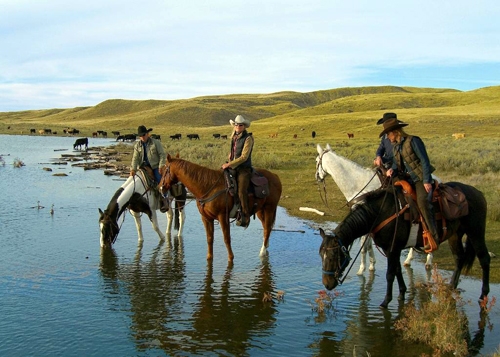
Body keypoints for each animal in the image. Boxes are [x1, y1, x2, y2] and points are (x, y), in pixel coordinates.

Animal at [314, 143, 432, 272]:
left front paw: (361, 269)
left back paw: (428, 261)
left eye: (316, 161)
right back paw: (408, 260)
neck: (358, 184)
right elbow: (369, 245)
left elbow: (364, 246)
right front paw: (371, 265)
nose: (317, 177)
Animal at [318, 182, 490, 308]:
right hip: (455, 235)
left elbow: (390, 274)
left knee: (484, 259)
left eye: (333, 255)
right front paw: (402, 293)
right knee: (459, 258)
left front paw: (386, 301)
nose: (327, 284)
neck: (380, 214)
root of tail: (479, 193)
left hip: (475, 232)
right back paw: (451, 287)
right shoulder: (391, 249)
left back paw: (483, 295)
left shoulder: (392, 248)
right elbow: (398, 270)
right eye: (321, 255)